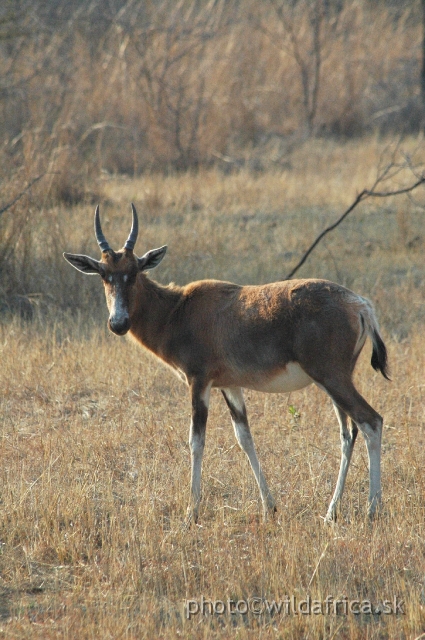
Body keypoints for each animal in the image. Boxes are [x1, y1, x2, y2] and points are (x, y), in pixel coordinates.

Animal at [63, 205, 388, 524]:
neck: (178, 309)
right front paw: (269, 507)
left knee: (371, 421)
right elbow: (244, 438)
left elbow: (196, 441)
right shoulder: (230, 386)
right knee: (348, 433)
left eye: (134, 271)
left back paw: (372, 509)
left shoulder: (199, 382)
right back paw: (331, 512)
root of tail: (360, 305)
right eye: (104, 273)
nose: (118, 323)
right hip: (332, 382)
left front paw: (191, 513)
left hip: (332, 378)